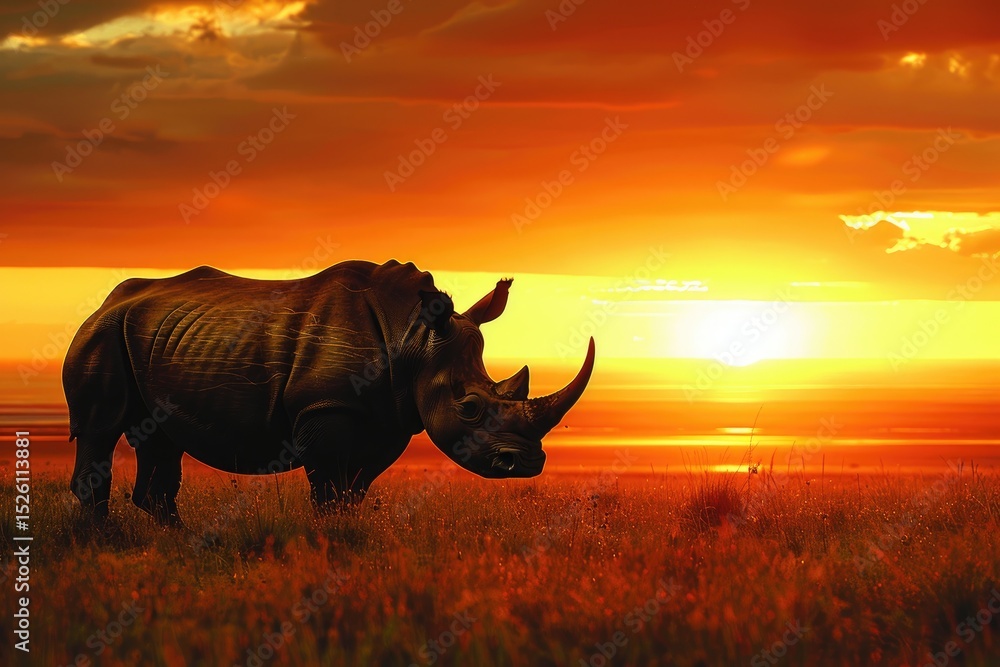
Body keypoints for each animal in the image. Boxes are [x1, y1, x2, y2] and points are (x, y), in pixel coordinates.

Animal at [63, 260, 595, 524]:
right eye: (468, 407)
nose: (527, 464)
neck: (412, 338)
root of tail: (106, 300)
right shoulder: (325, 408)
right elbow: (328, 489)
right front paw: (330, 546)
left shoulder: (386, 418)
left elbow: (353, 490)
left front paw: (347, 539)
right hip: (102, 333)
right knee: (100, 429)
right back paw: (104, 544)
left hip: (157, 337)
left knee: (160, 440)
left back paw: (176, 541)